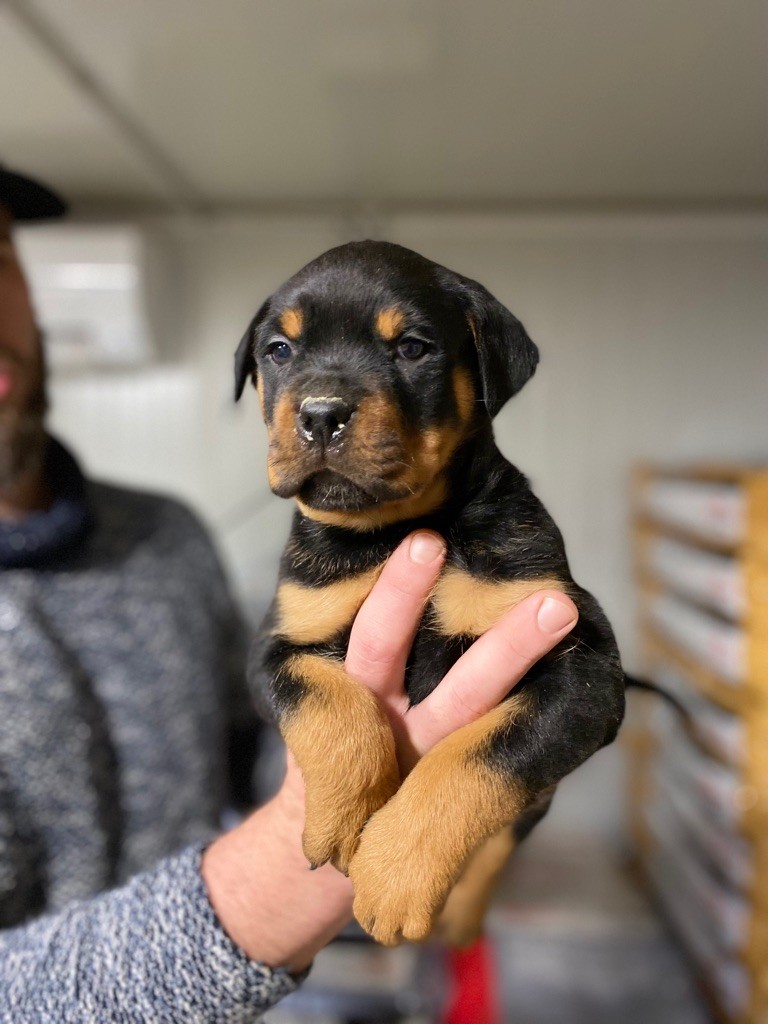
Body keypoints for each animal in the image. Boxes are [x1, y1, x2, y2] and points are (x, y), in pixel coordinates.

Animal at [233, 239, 626, 942]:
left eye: (412, 348)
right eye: (279, 350)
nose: (321, 414)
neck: (397, 529)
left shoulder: (582, 664)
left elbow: (481, 757)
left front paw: (397, 873)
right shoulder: (279, 642)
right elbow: (332, 704)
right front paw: (344, 818)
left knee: (498, 847)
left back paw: (462, 919)